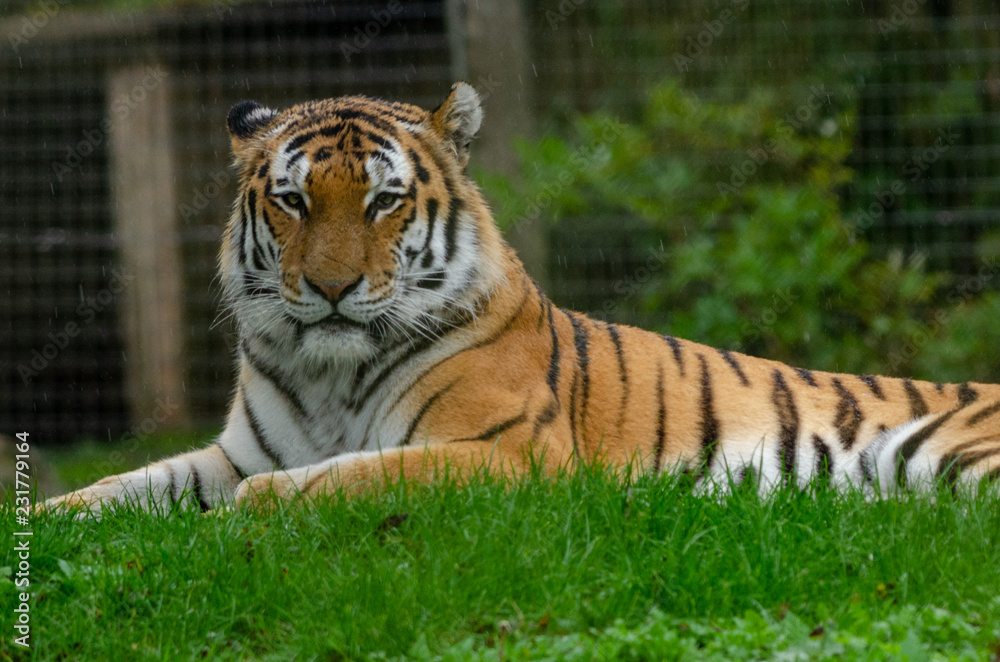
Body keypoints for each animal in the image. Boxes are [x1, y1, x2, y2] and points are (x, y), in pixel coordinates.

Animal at [45, 82, 1000, 514]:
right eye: (292, 200)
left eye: (384, 202)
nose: (331, 288)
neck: (327, 376)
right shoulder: (237, 453)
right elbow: (124, 485)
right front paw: (52, 519)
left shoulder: (502, 452)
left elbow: (349, 475)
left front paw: (249, 518)